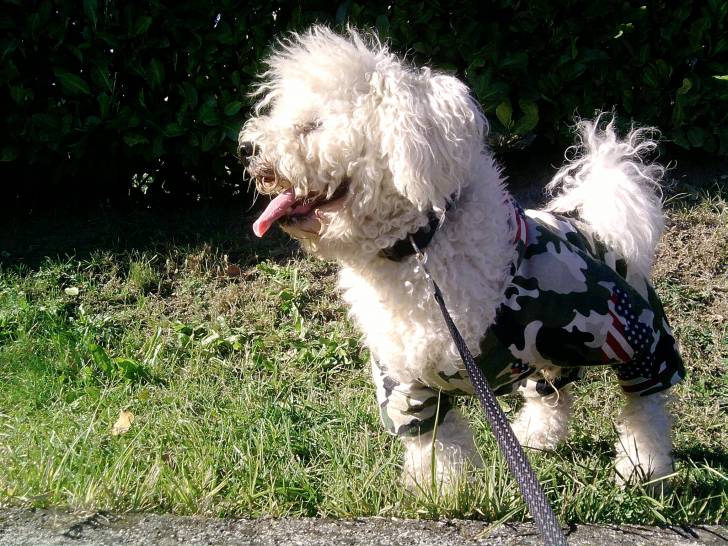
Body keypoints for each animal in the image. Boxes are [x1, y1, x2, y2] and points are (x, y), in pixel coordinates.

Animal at [240, 27, 685, 493]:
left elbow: (644, 409)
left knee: (644, 404)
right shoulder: (406, 383)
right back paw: (538, 434)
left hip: (631, 330)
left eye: (314, 125)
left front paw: (644, 464)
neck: (421, 250)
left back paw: (644, 467)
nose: (247, 148)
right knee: (552, 391)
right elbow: (437, 444)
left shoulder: (613, 329)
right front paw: (442, 491)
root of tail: (598, 224)